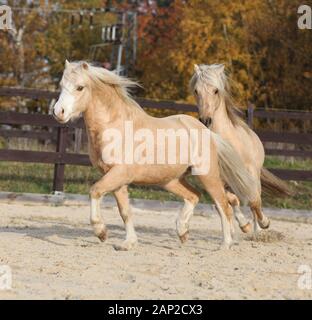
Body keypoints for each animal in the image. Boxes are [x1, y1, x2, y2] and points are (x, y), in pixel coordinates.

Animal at [53, 60, 258, 250]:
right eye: (61, 85)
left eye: (80, 87)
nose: (58, 112)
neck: (116, 127)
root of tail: (206, 131)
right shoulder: (116, 179)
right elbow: (125, 211)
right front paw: (128, 243)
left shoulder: (119, 175)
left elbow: (94, 191)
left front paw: (101, 232)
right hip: (170, 180)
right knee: (194, 196)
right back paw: (183, 231)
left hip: (207, 176)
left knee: (223, 205)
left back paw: (226, 243)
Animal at [189, 63, 292, 232]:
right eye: (196, 91)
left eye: (216, 90)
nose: (205, 120)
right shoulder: (218, 178)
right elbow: (233, 200)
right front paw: (244, 225)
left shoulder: (249, 174)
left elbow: (254, 201)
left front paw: (264, 223)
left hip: (254, 175)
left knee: (254, 200)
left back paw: (258, 229)